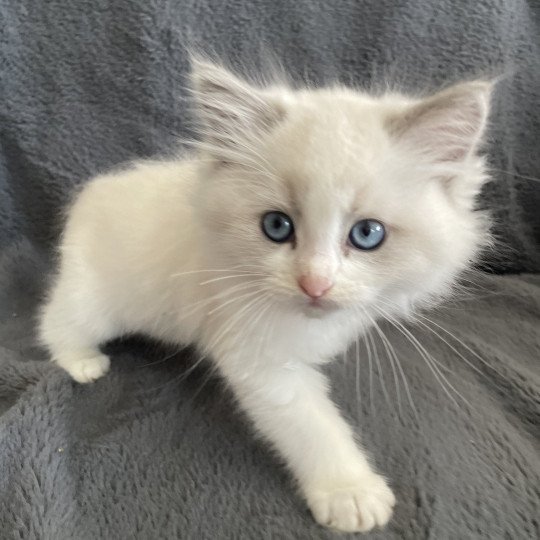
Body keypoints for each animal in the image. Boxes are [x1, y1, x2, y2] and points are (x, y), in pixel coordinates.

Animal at [40, 59, 492, 532]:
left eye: (368, 234)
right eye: (277, 226)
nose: (315, 284)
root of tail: (93, 190)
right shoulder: (259, 358)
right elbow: (313, 427)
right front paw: (350, 493)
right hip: (95, 298)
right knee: (57, 321)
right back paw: (83, 362)